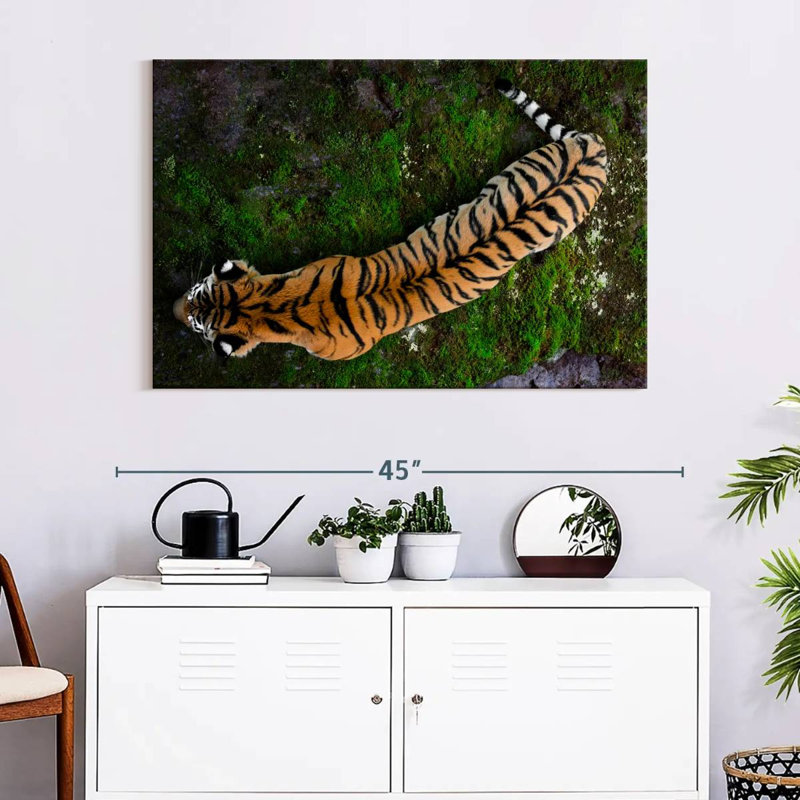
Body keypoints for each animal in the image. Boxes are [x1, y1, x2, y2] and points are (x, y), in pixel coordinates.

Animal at [173, 78, 608, 361]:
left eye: (195, 322)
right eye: (193, 295)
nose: (172, 308)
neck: (268, 305)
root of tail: (595, 147)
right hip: (507, 175)